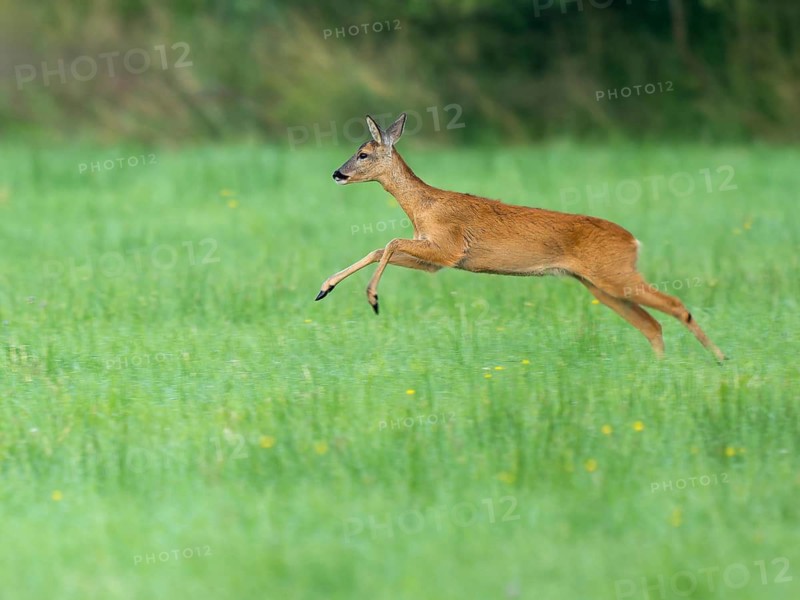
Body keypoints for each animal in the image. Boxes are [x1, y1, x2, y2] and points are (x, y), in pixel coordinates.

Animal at [315, 113, 726, 362]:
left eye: (363, 153)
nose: (336, 173)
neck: (423, 207)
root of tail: (634, 241)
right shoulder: (437, 260)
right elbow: (379, 247)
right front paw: (324, 288)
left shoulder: (449, 247)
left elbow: (389, 243)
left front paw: (372, 297)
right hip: (600, 285)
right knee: (652, 324)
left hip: (615, 275)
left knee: (676, 306)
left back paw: (721, 359)